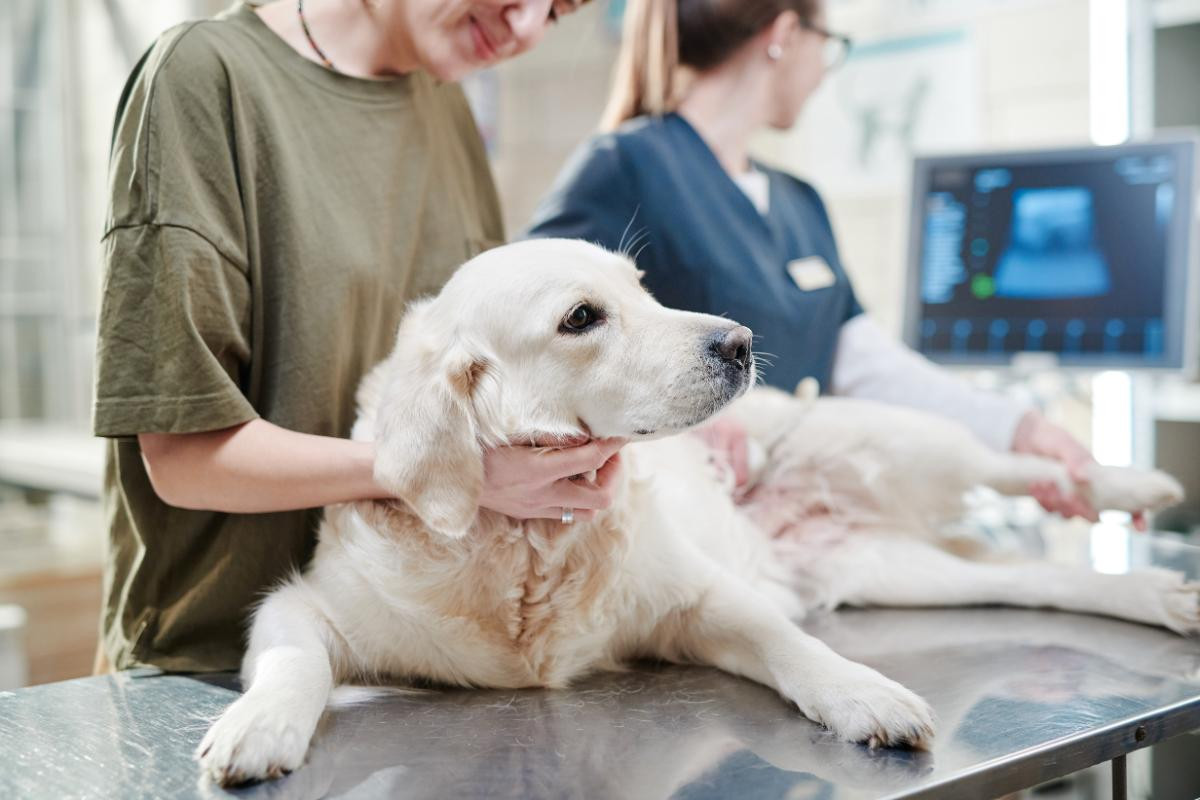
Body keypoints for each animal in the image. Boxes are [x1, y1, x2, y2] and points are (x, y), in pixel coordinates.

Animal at [196, 239, 1190, 786]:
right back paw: (1161, 596)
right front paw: (259, 726)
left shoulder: (698, 599)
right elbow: (293, 661)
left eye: (643, 287)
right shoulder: (305, 605)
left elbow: (795, 648)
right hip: (895, 571)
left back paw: (1131, 486)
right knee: (1039, 576)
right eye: (583, 317)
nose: (740, 341)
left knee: (1012, 461)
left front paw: (863, 693)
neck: (529, 545)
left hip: (893, 439)